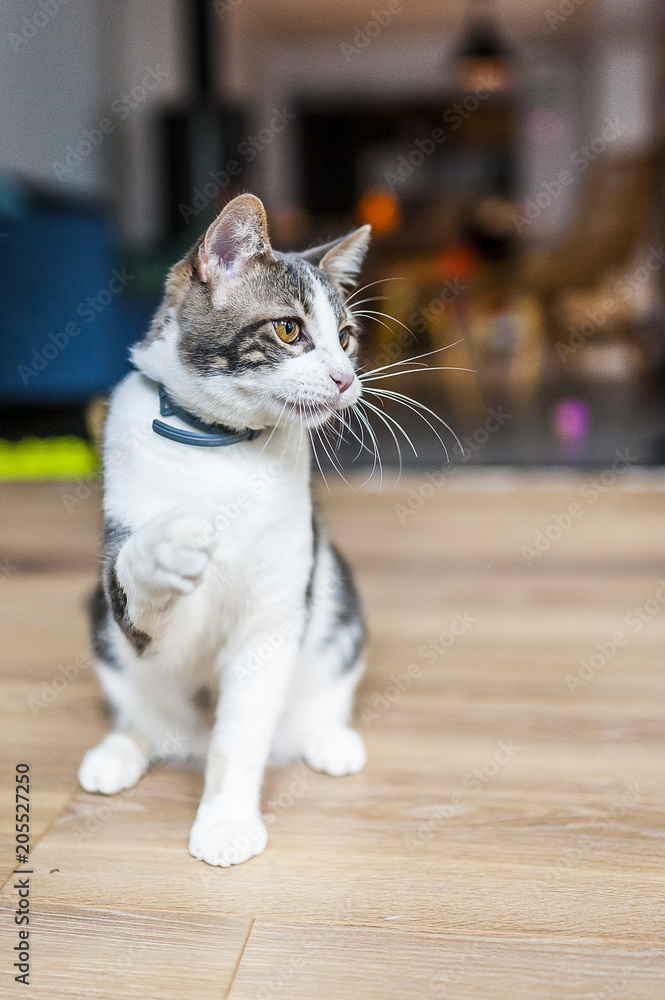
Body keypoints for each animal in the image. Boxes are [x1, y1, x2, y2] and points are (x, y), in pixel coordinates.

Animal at [78, 195, 374, 868]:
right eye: (289, 329)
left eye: (345, 338)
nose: (346, 379)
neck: (218, 445)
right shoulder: (138, 606)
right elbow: (141, 589)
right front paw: (167, 547)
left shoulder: (275, 613)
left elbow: (240, 733)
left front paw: (225, 820)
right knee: (142, 713)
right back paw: (119, 749)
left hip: (337, 606)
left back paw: (329, 738)